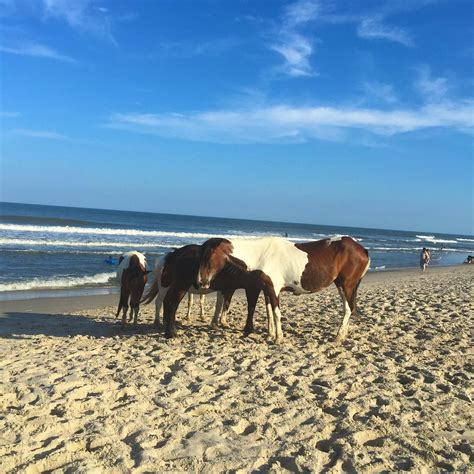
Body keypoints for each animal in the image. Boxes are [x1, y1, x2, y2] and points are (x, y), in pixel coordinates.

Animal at [195, 236, 370, 340]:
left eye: (209, 257)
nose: (200, 282)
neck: (261, 255)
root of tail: (362, 249)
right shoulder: (266, 289)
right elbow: (269, 313)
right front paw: (270, 335)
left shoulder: (274, 289)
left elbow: (276, 313)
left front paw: (279, 337)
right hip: (342, 285)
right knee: (348, 308)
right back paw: (343, 335)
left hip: (346, 285)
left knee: (348, 309)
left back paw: (338, 336)